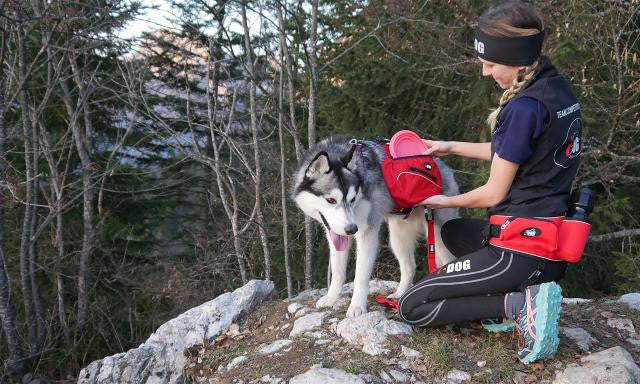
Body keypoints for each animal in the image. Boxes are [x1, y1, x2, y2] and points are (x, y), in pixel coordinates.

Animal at [290, 136, 460, 316]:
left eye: (352, 199)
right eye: (331, 200)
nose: (351, 229)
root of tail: (440, 164)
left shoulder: (367, 233)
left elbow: (360, 277)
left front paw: (357, 306)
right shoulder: (335, 234)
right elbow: (337, 272)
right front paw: (332, 298)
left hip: (438, 234)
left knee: (450, 262)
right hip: (397, 238)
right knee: (409, 267)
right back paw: (399, 294)